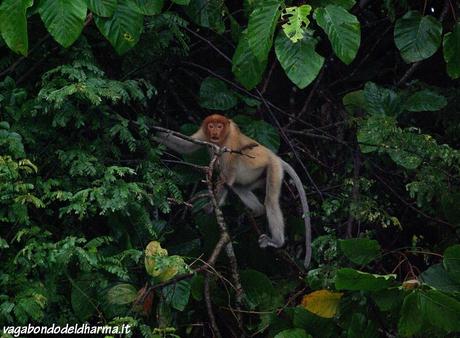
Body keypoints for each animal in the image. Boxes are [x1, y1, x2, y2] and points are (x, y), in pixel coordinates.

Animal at [157, 115, 312, 268]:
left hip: (274, 168)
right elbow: (186, 146)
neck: (222, 138)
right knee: (240, 188)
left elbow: (228, 177)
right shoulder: (204, 133)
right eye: (211, 125)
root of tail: (275, 156)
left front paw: (210, 207)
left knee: (270, 201)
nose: (215, 132)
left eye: (219, 126)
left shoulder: (231, 142)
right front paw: (155, 133)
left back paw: (276, 241)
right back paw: (258, 211)